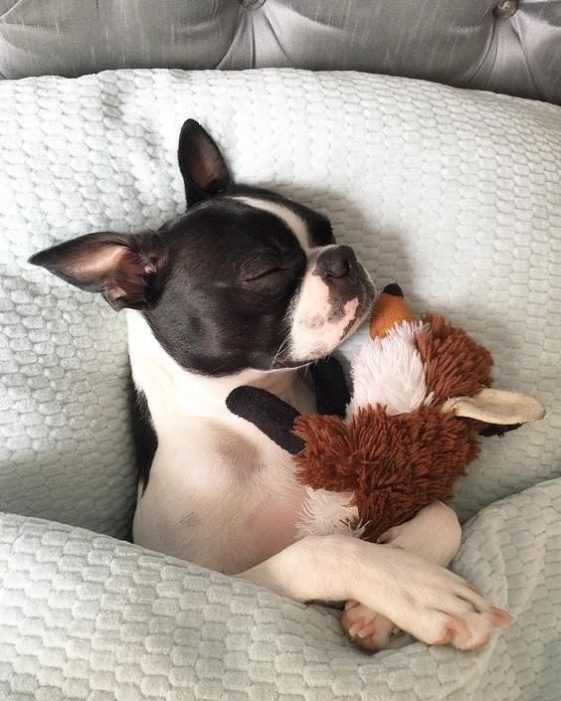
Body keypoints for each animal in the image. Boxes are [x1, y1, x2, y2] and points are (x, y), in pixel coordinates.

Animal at [29, 120, 508, 652]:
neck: (249, 414)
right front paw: (420, 592)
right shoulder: (215, 579)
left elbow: (443, 515)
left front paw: (380, 605)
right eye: (266, 271)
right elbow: (322, 550)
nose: (342, 255)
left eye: (326, 231)